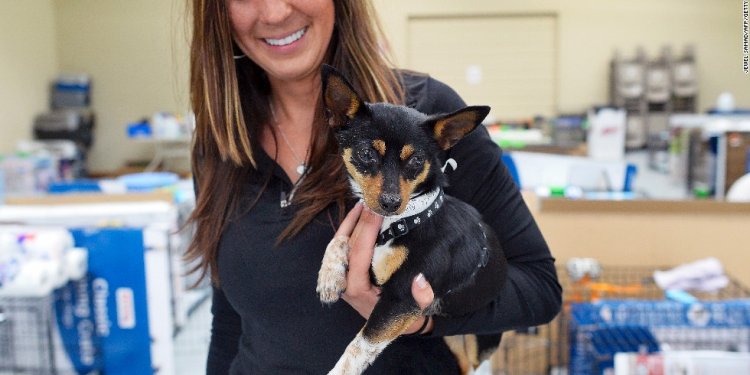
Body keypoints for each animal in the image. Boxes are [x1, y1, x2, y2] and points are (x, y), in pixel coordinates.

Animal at [318, 65, 512, 375]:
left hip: (476, 343)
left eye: (416, 161)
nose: (390, 202)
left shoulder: (401, 299)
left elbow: (359, 345)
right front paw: (329, 275)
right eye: (366, 153)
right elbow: (339, 238)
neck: (401, 223)